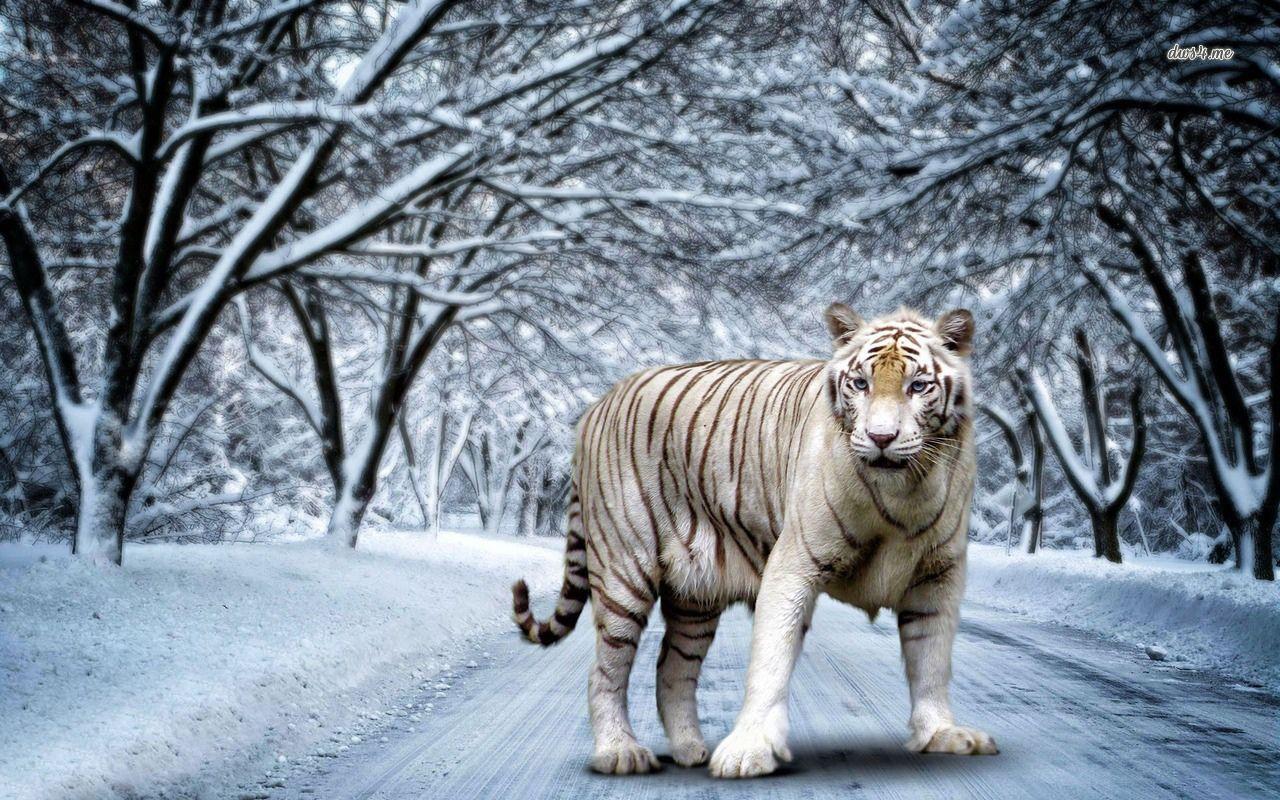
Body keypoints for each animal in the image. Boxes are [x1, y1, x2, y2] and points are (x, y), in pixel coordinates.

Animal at [510, 304, 997, 778]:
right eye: (861, 383)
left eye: (918, 386)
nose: (881, 438)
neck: (904, 493)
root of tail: (597, 403)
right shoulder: (794, 564)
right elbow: (771, 660)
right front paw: (748, 751)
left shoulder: (938, 575)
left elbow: (931, 659)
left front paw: (941, 733)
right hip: (624, 571)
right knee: (604, 671)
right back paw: (619, 753)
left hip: (696, 596)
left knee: (672, 668)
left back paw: (689, 750)